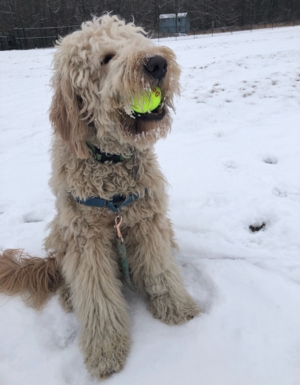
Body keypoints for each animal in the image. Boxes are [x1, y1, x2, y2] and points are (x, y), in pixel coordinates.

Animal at [0, 14, 202, 378]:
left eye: (138, 41)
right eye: (106, 58)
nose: (157, 62)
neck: (112, 165)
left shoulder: (148, 221)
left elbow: (161, 269)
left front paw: (178, 309)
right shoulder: (85, 239)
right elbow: (96, 298)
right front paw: (106, 350)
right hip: (60, 231)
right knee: (66, 272)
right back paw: (69, 295)